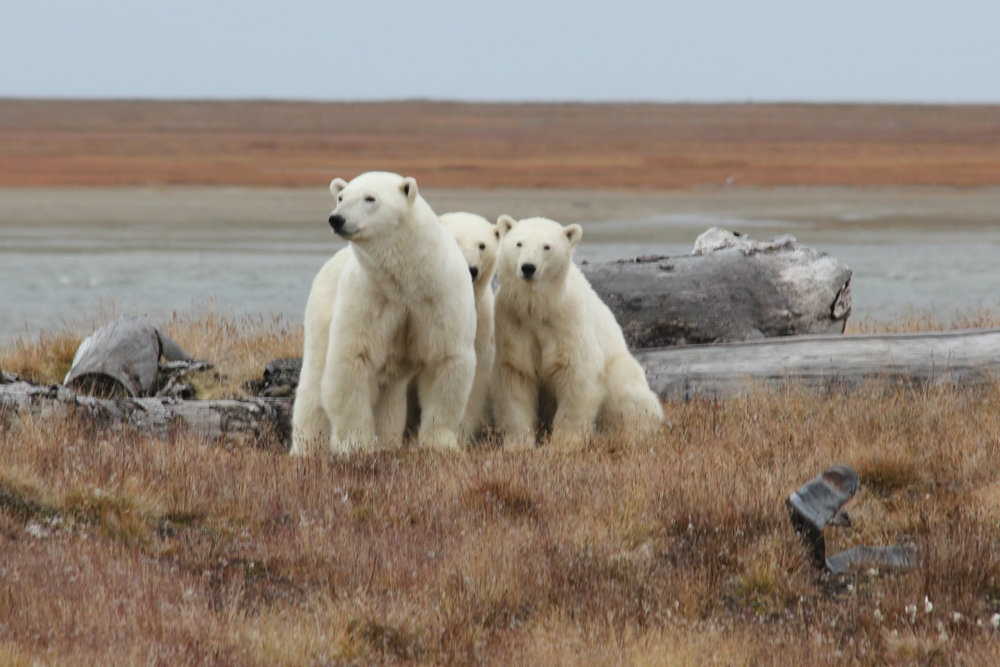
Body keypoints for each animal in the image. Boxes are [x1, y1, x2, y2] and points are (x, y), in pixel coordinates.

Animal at [290, 170, 476, 456]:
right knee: (313, 383)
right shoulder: (369, 297)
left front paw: (440, 444)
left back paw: (388, 440)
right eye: (341, 197)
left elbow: (446, 361)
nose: (337, 218)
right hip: (322, 310)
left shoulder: (441, 298)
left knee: (391, 390)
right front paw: (355, 444)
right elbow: (352, 359)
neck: (408, 278)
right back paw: (307, 448)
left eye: (370, 198)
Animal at [492, 217, 664, 452]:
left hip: (622, 370)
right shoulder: (513, 324)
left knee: (627, 395)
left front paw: (562, 444)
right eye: (519, 243)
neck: (540, 308)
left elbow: (576, 377)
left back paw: (627, 435)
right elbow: (516, 377)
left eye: (547, 246)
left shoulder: (568, 324)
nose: (528, 267)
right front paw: (518, 445)